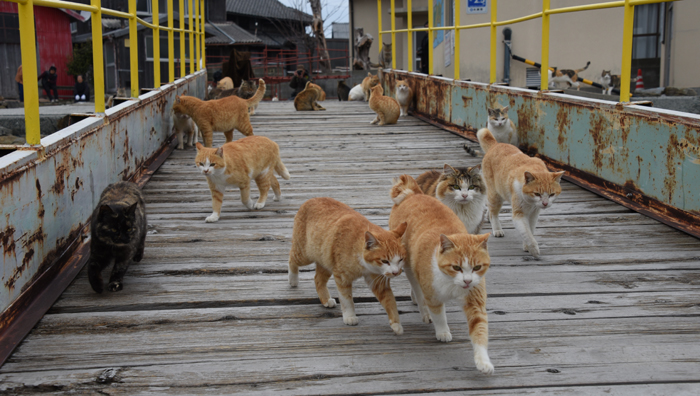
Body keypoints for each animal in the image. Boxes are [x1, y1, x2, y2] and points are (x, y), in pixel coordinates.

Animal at [290, 198, 410, 334]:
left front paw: (396, 323)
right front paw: (350, 316)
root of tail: (311, 199)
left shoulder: (377, 281)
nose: (395, 272)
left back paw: (325, 299)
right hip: (303, 254)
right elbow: (347, 299)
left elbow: (390, 301)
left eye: (400, 259)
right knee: (291, 258)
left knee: (318, 279)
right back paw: (293, 279)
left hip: (325, 262)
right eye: (385, 261)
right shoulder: (342, 277)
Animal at [478, 128, 568, 258]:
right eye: (537, 194)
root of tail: (496, 145)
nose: (545, 203)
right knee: (493, 212)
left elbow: (530, 230)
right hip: (496, 195)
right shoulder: (519, 214)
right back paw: (497, 228)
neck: (530, 203)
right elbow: (526, 233)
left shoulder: (534, 214)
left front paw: (527, 246)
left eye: (551, 195)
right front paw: (533, 249)